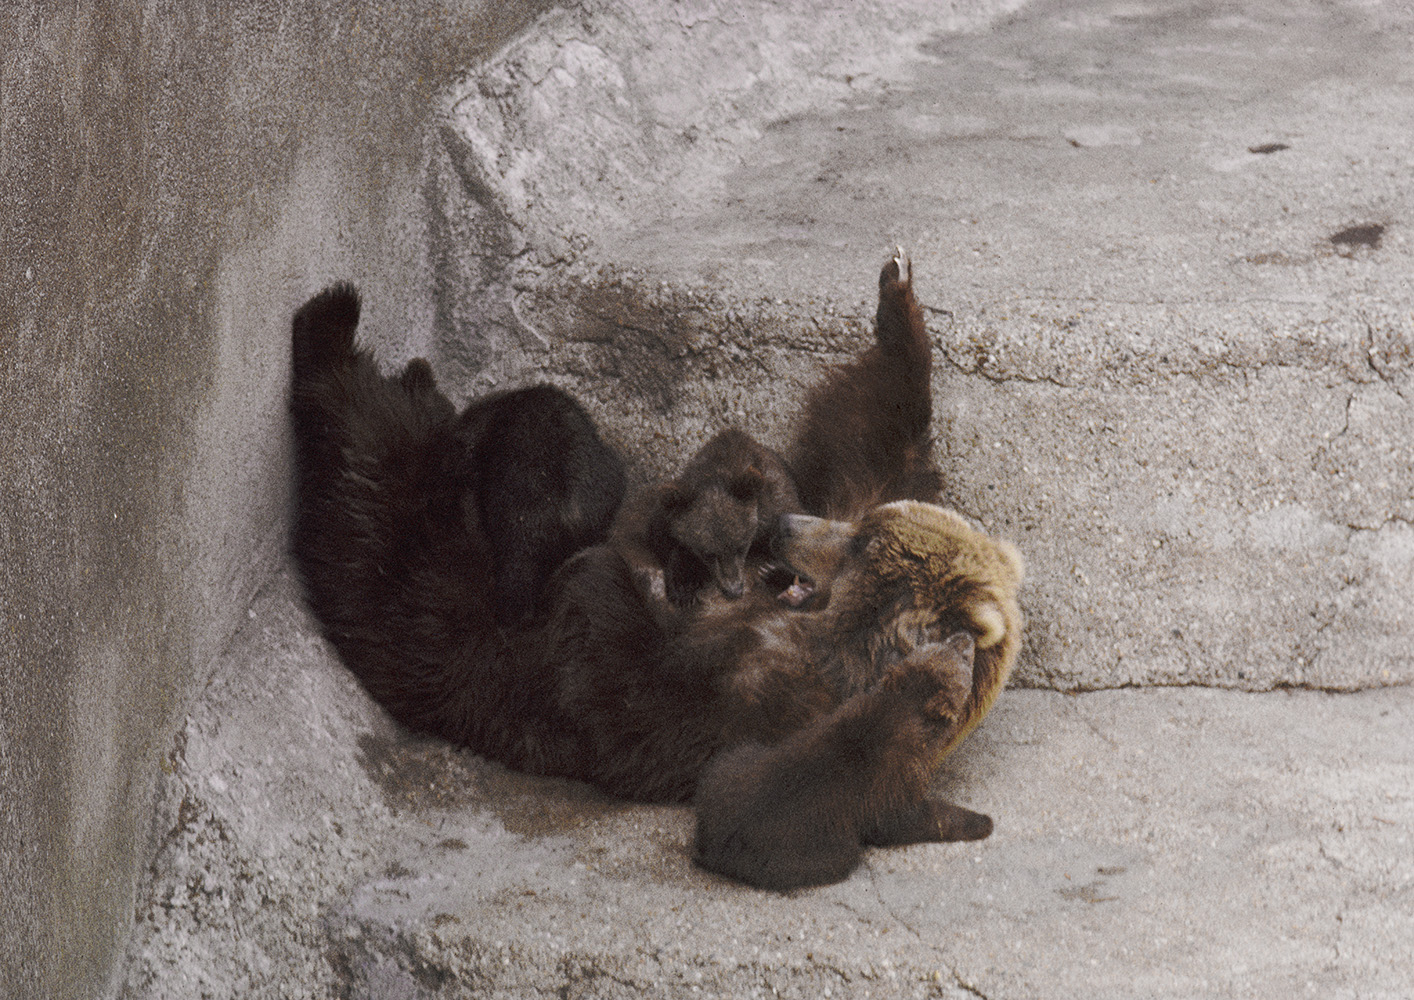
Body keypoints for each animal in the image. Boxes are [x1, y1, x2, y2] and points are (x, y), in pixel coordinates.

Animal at [613, 427, 802, 607]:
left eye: (741, 547)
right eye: (708, 554)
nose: (733, 590)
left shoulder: (774, 503)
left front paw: (774, 571)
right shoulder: (666, 513)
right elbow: (667, 543)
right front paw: (684, 588)